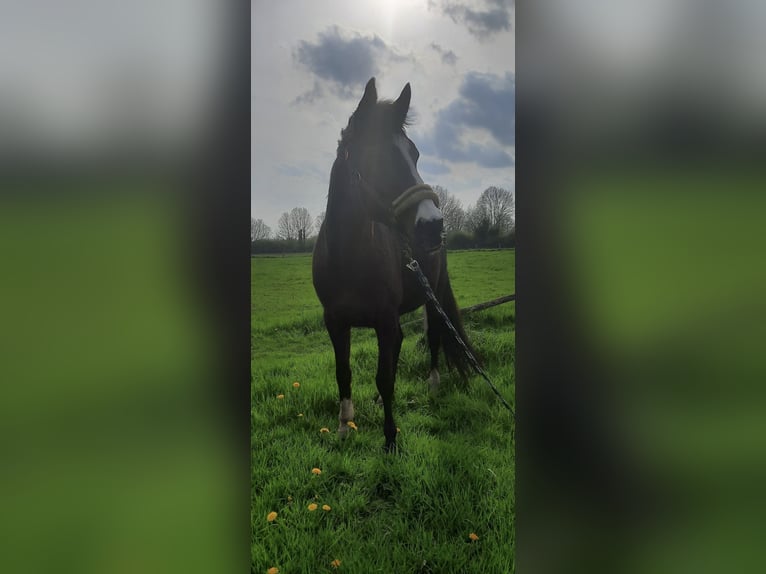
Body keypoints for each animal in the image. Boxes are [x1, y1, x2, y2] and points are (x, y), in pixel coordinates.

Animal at [312, 77, 476, 451]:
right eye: (379, 156)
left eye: (414, 154)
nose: (433, 224)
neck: (349, 258)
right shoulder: (335, 322)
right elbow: (344, 372)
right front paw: (344, 427)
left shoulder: (385, 321)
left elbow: (384, 377)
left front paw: (390, 440)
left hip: (432, 298)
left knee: (433, 336)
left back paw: (433, 383)